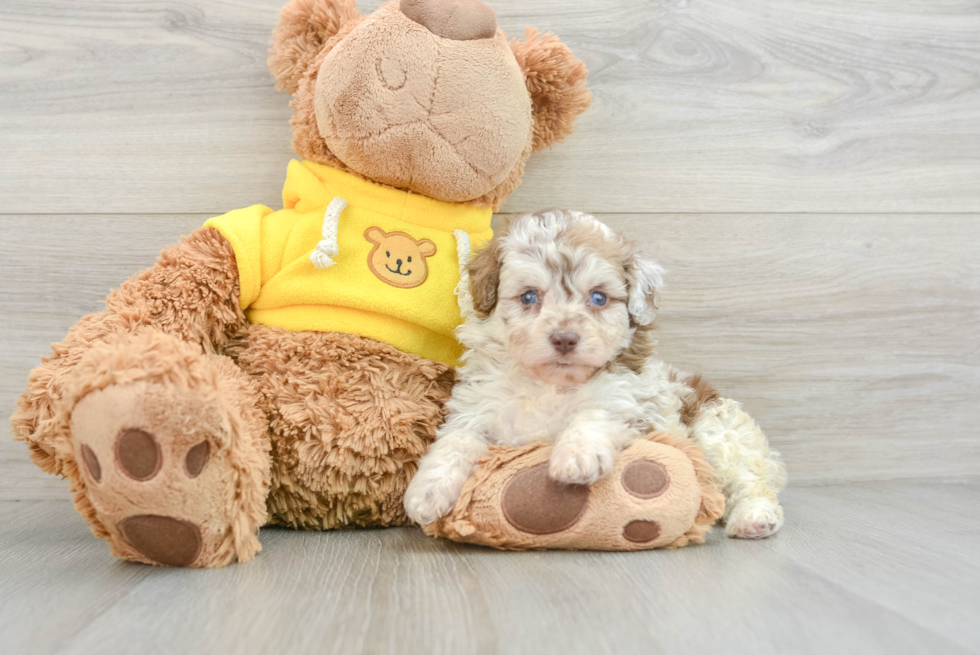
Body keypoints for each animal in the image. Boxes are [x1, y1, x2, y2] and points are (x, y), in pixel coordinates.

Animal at [402, 209, 784, 540]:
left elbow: (596, 414)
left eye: (599, 298)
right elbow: (456, 439)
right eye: (529, 296)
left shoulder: (631, 403)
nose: (565, 338)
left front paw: (576, 457)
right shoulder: (478, 406)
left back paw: (754, 517)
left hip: (719, 433)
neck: (551, 384)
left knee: (750, 479)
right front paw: (426, 493)